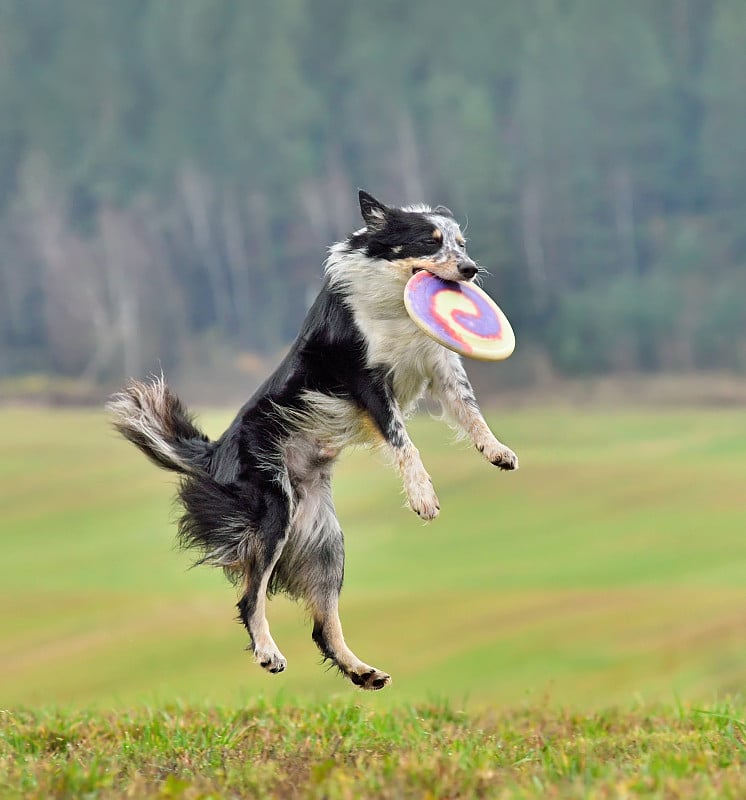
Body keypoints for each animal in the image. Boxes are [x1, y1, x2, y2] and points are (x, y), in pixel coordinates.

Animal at [109, 191, 516, 692]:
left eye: (461, 243)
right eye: (429, 240)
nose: (471, 270)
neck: (393, 300)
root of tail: (213, 453)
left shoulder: (439, 365)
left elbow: (470, 410)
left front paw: (496, 450)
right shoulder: (367, 380)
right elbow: (402, 441)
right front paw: (423, 496)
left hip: (325, 542)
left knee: (322, 624)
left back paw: (361, 671)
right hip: (273, 515)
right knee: (250, 598)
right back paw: (269, 653)